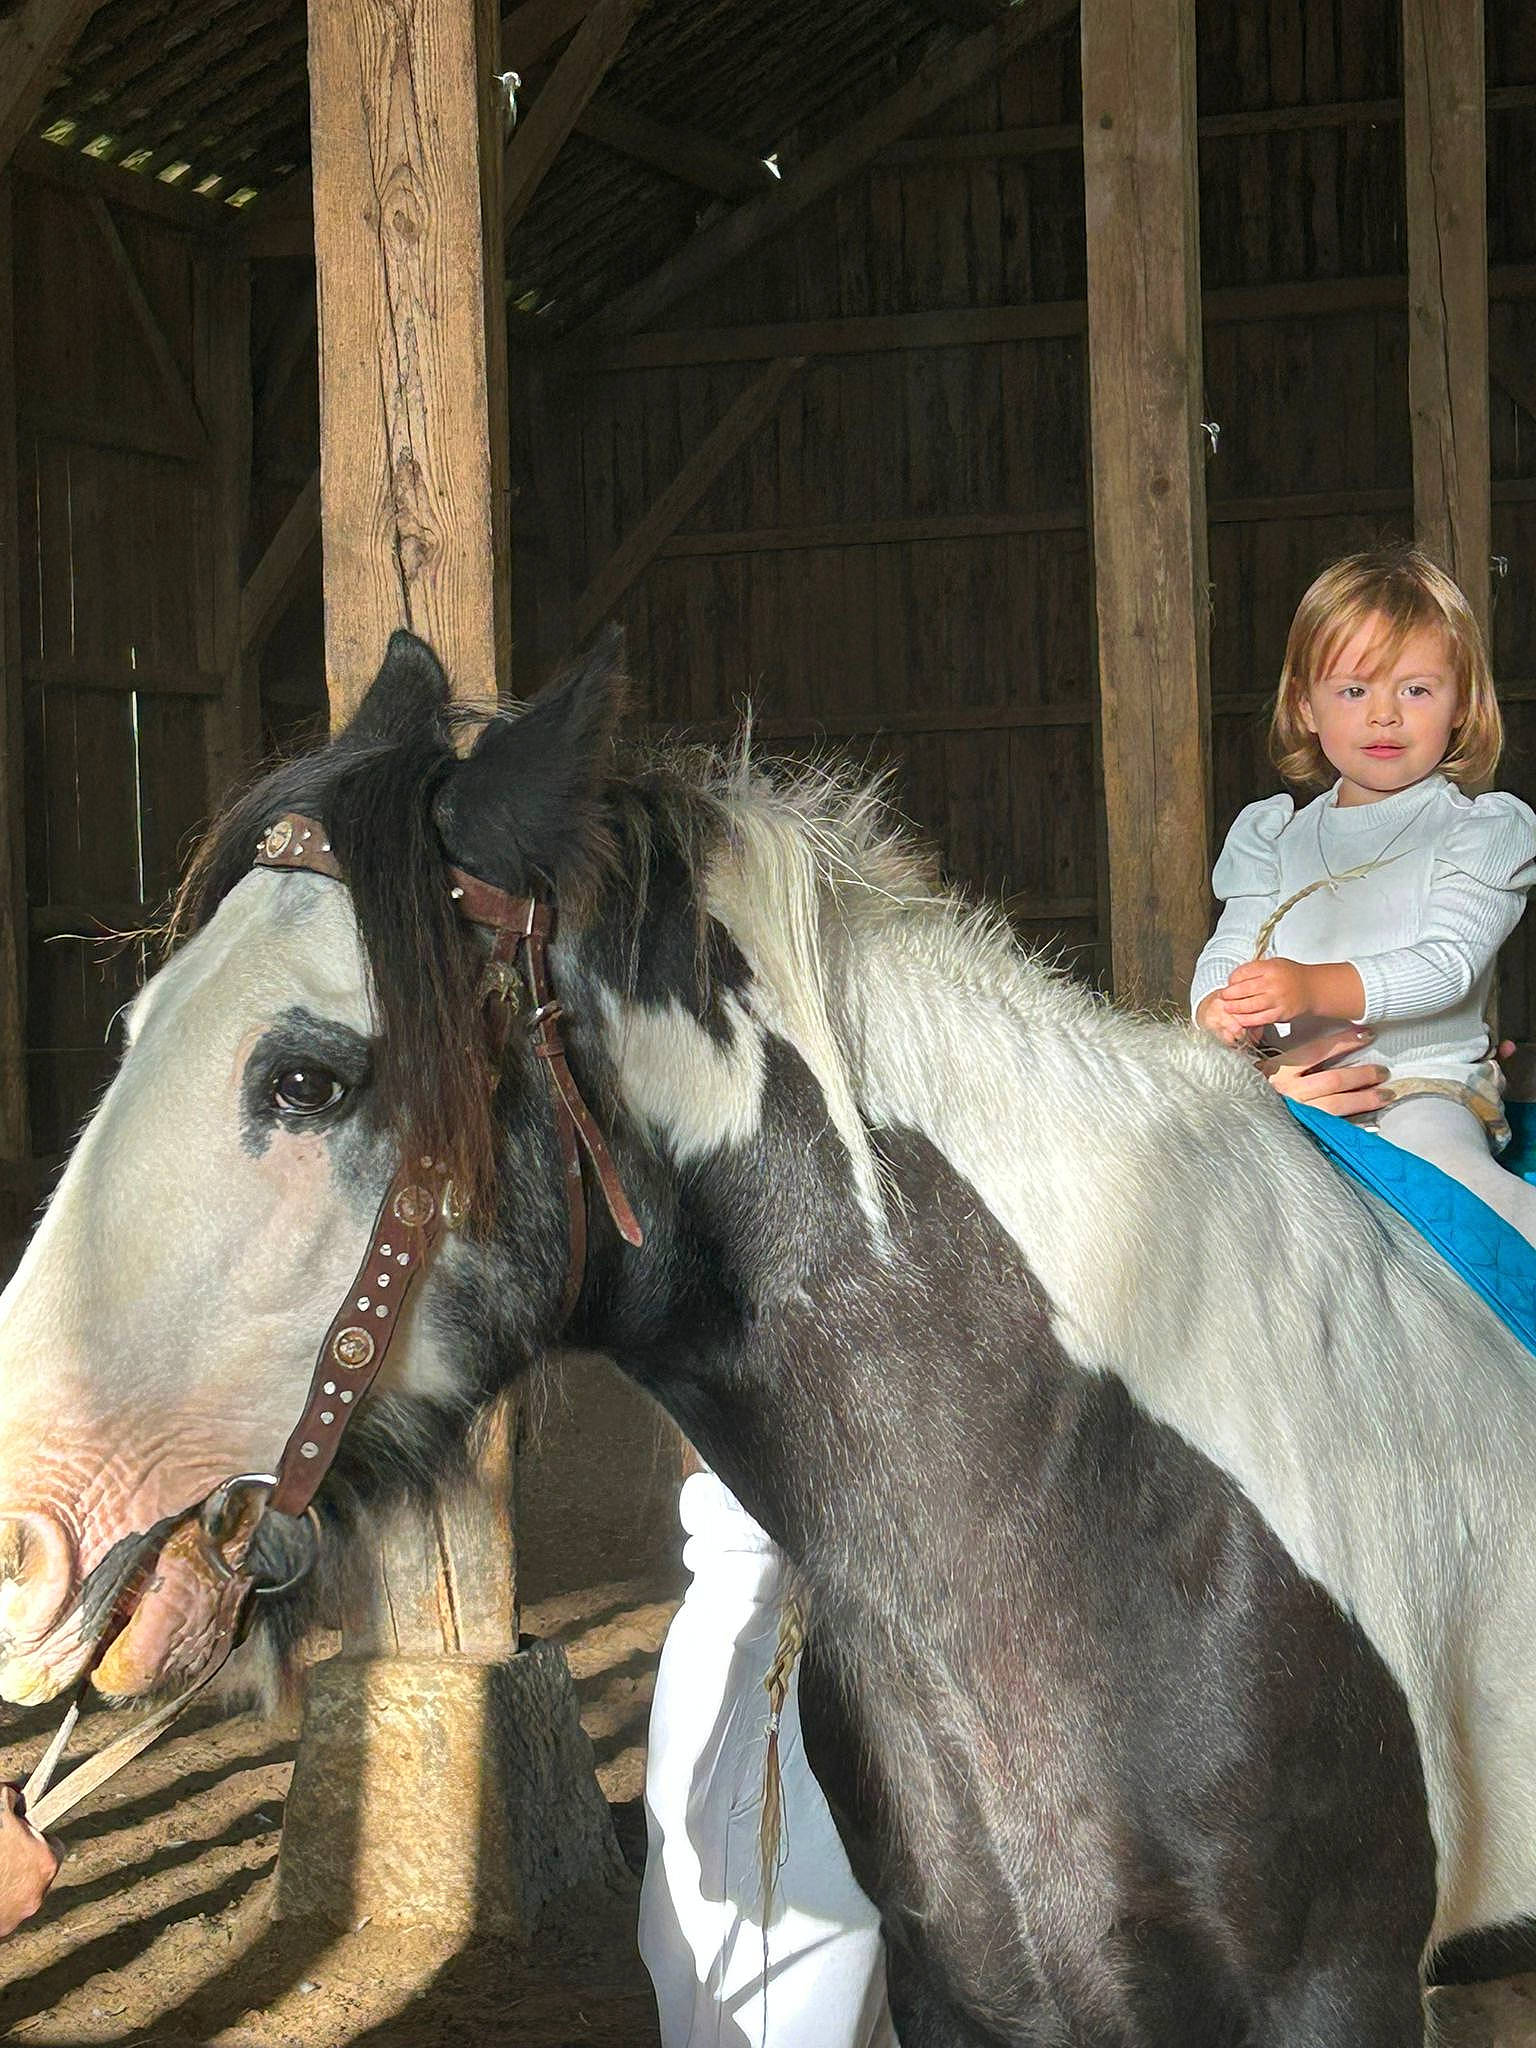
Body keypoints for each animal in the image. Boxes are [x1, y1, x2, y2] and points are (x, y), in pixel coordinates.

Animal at [0, 628, 1532, 2047]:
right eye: (131, 1028)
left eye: (308, 1080)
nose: (25, 1547)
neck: (1114, 1493)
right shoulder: (976, 1990)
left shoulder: (1335, 1997)